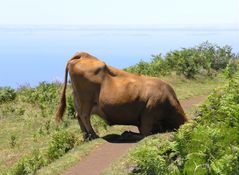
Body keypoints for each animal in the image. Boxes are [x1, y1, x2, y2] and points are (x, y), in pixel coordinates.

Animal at [55, 51, 188, 139]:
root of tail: (83, 55)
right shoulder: (148, 114)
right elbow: (144, 133)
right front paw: (127, 133)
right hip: (86, 98)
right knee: (84, 115)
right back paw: (93, 135)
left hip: (78, 98)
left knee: (78, 115)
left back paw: (86, 136)